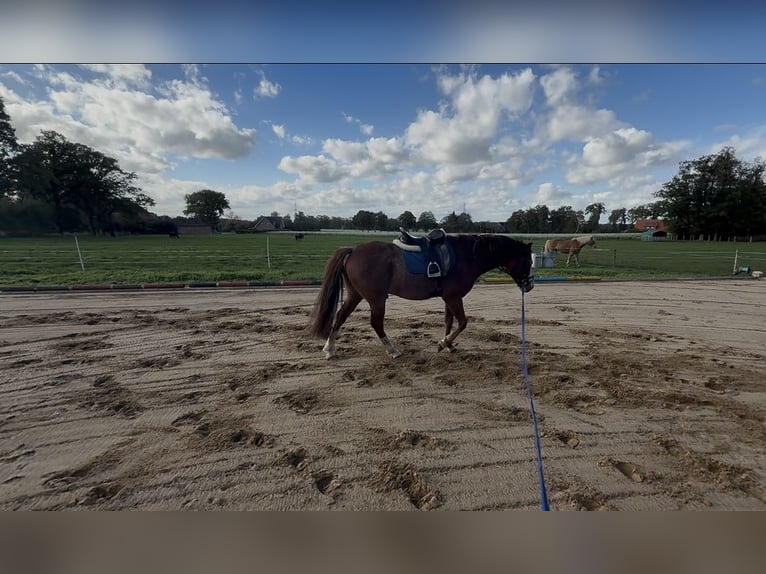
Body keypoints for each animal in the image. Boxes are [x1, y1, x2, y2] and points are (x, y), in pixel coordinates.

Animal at [308, 234, 534, 359]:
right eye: (528, 261)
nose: (530, 285)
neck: (467, 256)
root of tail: (353, 250)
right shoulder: (453, 297)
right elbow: (462, 322)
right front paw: (443, 343)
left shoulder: (449, 298)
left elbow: (449, 321)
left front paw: (448, 344)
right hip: (376, 299)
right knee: (376, 323)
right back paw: (392, 350)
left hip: (355, 295)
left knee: (340, 316)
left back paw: (330, 349)